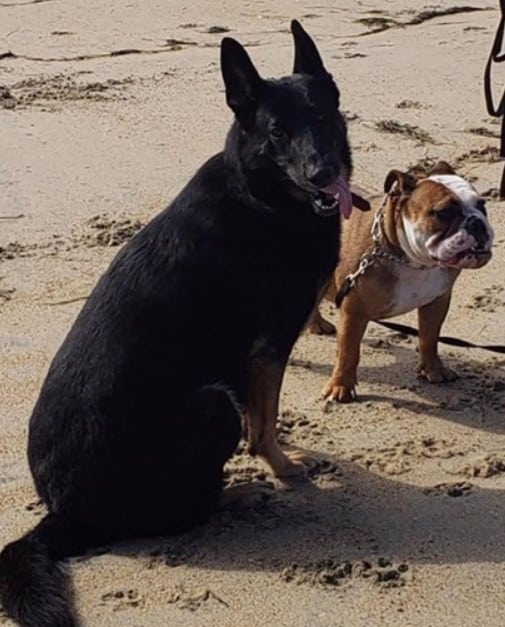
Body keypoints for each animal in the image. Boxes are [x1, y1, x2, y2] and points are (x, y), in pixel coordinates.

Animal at [0, 20, 352, 627]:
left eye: (324, 116)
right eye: (277, 132)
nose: (323, 174)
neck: (262, 195)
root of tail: (61, 515)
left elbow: (264, 418)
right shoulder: (268, 350)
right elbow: (265, 423)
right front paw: (282, 468)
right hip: (212, 403)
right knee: (183, 513)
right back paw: (236, 495)